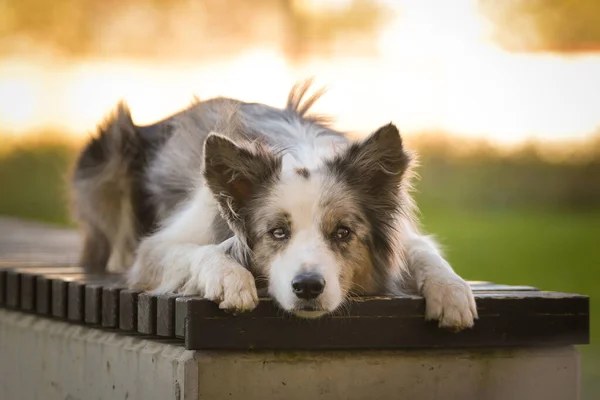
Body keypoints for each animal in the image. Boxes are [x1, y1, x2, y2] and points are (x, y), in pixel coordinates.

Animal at [71, 80, 478, 328]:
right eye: (278, 232)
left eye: (343, 232)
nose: (308, 287)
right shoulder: (156, 248)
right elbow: (198, 252)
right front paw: (231, 278)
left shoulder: (404, 234)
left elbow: (424, 251)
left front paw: (452, 292)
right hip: (111, 148)